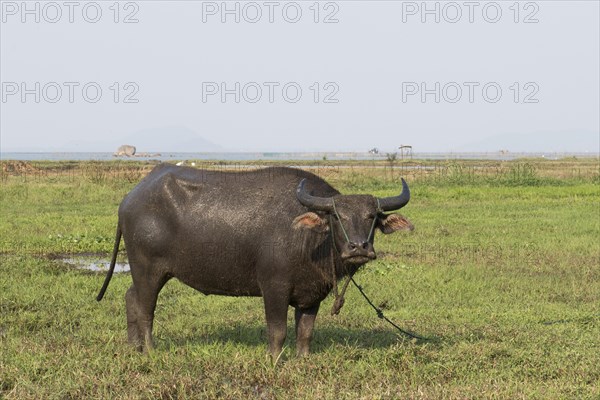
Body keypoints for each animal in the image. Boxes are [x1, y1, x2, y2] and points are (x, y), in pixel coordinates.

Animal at [96, 164, 414, 358]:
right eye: (337, 216)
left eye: (371, 216)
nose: (358, 247)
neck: (310, 240)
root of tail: (129, 200)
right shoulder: (273, 287)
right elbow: (278, 331)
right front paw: (275, 360)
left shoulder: (312, 295)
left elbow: (305, 332)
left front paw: (302, 359)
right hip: (148, 269)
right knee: (145, 308)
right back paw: (150, 350)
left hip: (144, 272)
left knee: (131, 297)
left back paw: (134, 347)